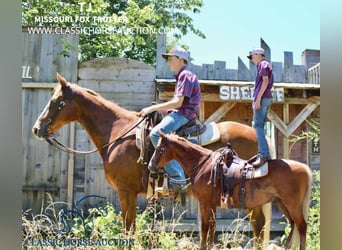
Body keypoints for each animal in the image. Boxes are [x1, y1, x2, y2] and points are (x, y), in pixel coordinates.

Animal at [31, 73, 268, 235]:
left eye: (56, 102)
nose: (36, 128)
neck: (118, 132)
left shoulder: (125, 191)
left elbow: (128, 229)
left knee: (258, 225)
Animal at [150, 132, 312, 249]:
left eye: (159, 148)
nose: (151, 166)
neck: (203, 164)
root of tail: (304, 167)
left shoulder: (204, 202)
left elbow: (204, 226)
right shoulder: (212, 204)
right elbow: (212, 226)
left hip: (292, 205)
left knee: (302, 226)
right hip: (282, 203)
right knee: (291, 224)